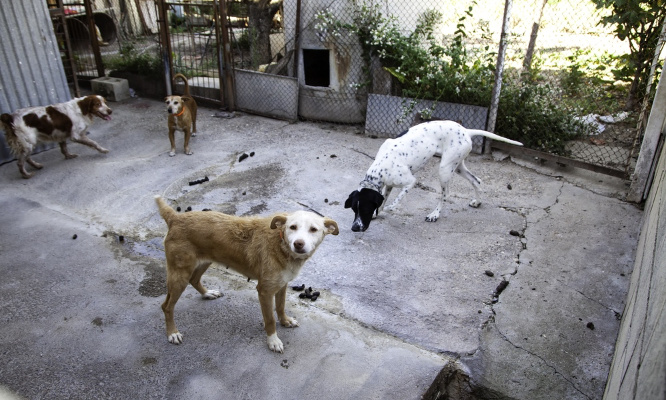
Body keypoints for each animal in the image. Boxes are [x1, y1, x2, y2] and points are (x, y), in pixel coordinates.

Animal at [152, 195, 334, 352]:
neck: (281, 244)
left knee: (195, 280)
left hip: (204, 261)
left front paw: (285, 321)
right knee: (167, 306)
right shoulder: (265, 291)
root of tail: (175, 218)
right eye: (293, 227)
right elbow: (270, 319)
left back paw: (207, 293)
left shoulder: (282, 284)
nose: (298, 244)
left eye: (313, 229)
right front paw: (273, 341)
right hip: (179, 275)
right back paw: (172, 333)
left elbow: (281, 306)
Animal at [344, 119, 520, 231]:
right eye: (353, 209)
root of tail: (465, 130)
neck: (380, 167)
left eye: (365, 209)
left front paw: (388, 209)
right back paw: (477, 201)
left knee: (446, 194)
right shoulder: (388, 185)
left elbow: (395, 201)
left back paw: (434, 214)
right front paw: (378, 212)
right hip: (457, 166)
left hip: (444, 169)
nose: (354, 228)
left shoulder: (410, 181)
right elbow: (383, 199)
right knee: (477, 181)